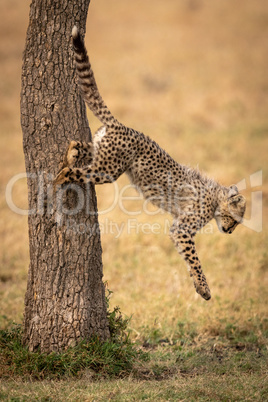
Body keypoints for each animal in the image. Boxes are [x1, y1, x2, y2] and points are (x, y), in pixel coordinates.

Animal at [54, 25, 245, 300]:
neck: (216, 198)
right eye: (237, 220)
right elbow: (195, 259)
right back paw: (58, 177)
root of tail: (123, 126)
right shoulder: (182, 229)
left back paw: (69, 153)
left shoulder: (179, 230)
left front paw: (198, 287)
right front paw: (205, 287)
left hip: (101, 153)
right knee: (74, 172)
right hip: (108, 170)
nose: (229, 231)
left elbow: (187, 258)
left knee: (77, 146)